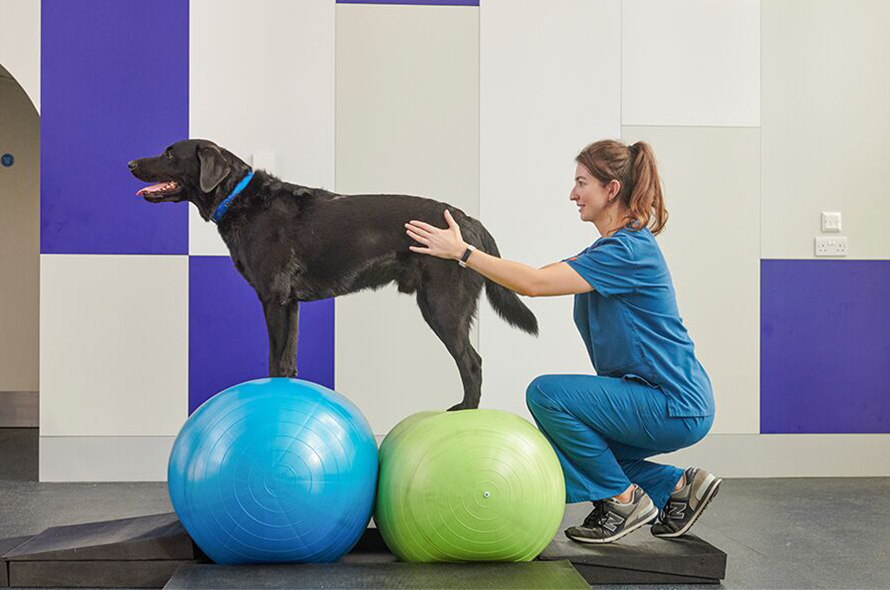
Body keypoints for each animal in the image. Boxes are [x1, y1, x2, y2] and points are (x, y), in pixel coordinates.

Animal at [130, 140, 536, 412]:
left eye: (170, 154)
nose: (132, 162)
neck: (241, 201)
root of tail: (467, 219)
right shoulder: (290, 304)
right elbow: (287, 361)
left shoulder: (274, 299)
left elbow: (275, 359)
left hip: (441, 306)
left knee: (472, 362)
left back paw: (465, 411)